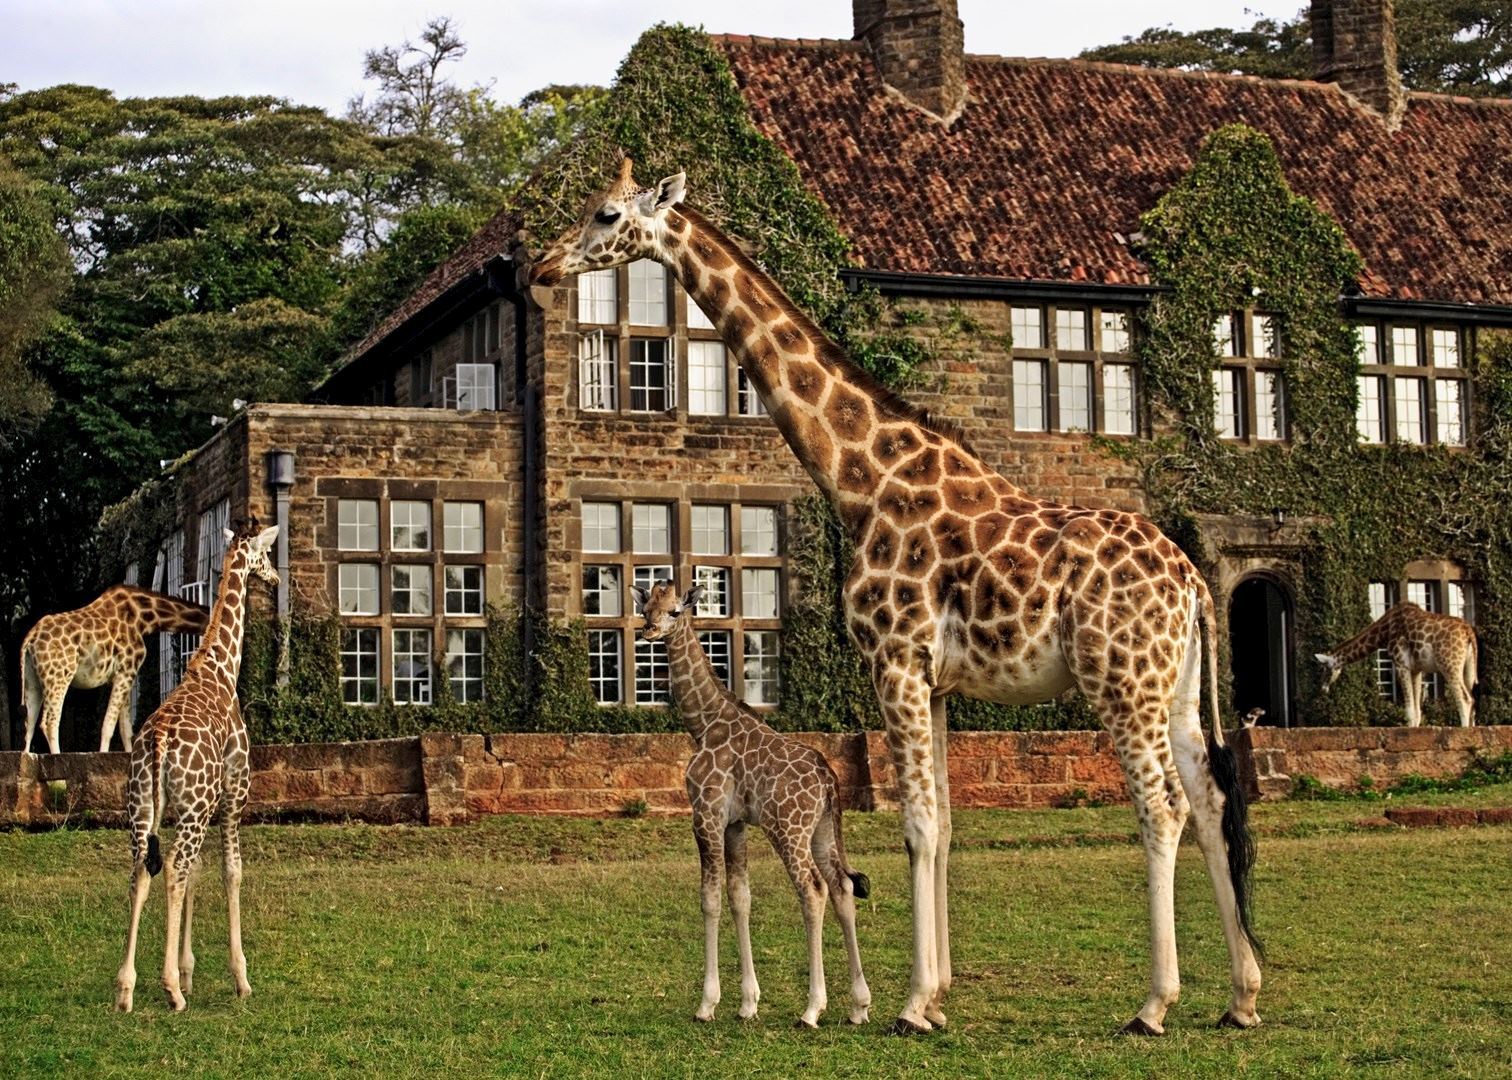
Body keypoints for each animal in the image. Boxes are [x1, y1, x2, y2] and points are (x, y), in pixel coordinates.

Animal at [19, 583, 210, 753]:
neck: (146, 617)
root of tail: (30, 638)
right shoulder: (127, 670)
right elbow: (109, 726)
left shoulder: (123, 675)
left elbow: (125, 729)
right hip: (60, 674)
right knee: (49, 721)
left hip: (33, 679)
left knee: (29, 722)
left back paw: (27, 757)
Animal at [114, 520, 281, 1010]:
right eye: (267, 553)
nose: (274, 578)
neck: (220, 668)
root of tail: (158, 743)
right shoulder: (231, 795)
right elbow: (231, 871)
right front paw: (239, 977)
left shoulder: (190, 807)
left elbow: (199, 874)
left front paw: (189, 970)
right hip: (192, 807)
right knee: (173, 868)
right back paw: (170, 989)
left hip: (142, 808)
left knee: (142, 871)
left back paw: (126, 989)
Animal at [632, 580, 876, 1028]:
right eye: (647, 608)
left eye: (675, 610)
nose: (649, 630)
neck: (702, 724)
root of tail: (827, 778)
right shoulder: (736, 823)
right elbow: (740, 897)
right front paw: (748, 1003)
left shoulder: (706, 814)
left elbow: (709, 899)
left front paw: (707, 1003)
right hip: (822, 831)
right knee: (842, 887)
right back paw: (858, 1006)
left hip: (788, 829)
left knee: (812, 889)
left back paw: (812, 1008)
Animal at [1324, 595, 1475, 723]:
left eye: (1324, 669)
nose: (1323, 689)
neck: (1385, 629)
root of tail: (1468, 632)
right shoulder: (1416, 670)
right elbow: (1417, 712)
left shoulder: (1401, 664)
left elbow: (1409, 712)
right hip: (1468, 670)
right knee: (1472, 700)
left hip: (1449, 665)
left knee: (1465, 699)